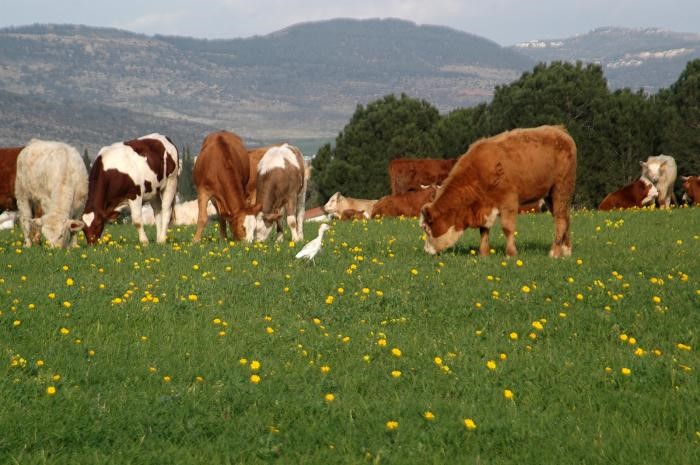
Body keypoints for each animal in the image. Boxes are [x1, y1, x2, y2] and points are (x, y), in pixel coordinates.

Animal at [418, 125, 576, 258]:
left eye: (426, 228)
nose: (426, 251)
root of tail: (559, 130)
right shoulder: (484, 205)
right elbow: (484, 230)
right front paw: (483, 253)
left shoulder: (509, 201)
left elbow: (507, 228)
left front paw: (511, 253)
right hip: (551, 196)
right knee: (565, 218)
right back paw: (566, 251)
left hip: (561, 190)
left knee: (561, 221)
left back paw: (555, 253)